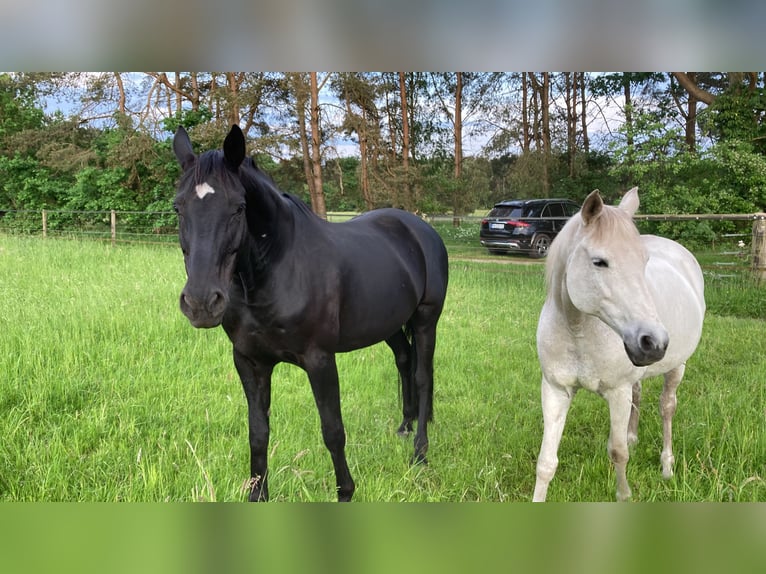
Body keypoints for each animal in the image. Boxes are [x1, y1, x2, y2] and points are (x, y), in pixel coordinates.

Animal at [172, 126, 450, 504]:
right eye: (178, 207)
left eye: (238, 208)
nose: (201, 302)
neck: (277, 267)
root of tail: (422, 230)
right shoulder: (249, 361)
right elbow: (258, 431)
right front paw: (257, 494)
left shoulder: (320, 360)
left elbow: (333, 430)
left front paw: (345, 492)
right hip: (389, 324)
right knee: (405, 361)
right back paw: (404, 428)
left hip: (425, 320)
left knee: (422, 377)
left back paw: (420, 453)